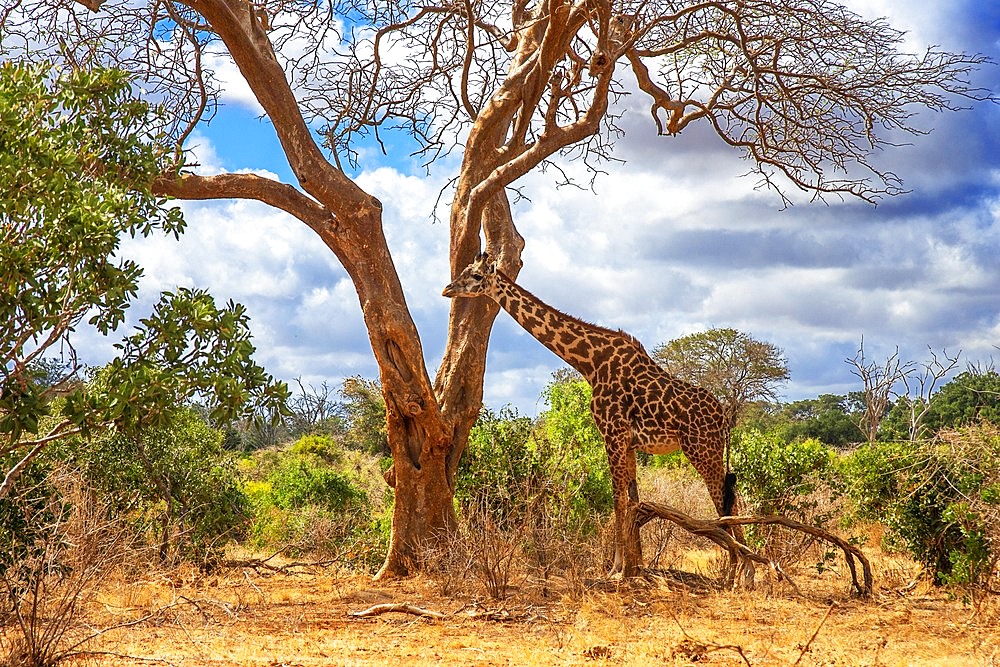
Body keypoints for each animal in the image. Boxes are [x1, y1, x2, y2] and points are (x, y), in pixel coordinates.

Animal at [446, 253, 744, 576]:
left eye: (476, 276)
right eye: (464, 270)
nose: (448, 289)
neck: (590, 363)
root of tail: (724, 418)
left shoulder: (612, 434)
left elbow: (618, 499)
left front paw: (616, 567)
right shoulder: (628, 442)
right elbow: (633, 500)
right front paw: (635, 565)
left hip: (702, 449)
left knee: (724, 500)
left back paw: (739, 569)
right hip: (709, 450)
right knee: (729, 497)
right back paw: (741, 566)